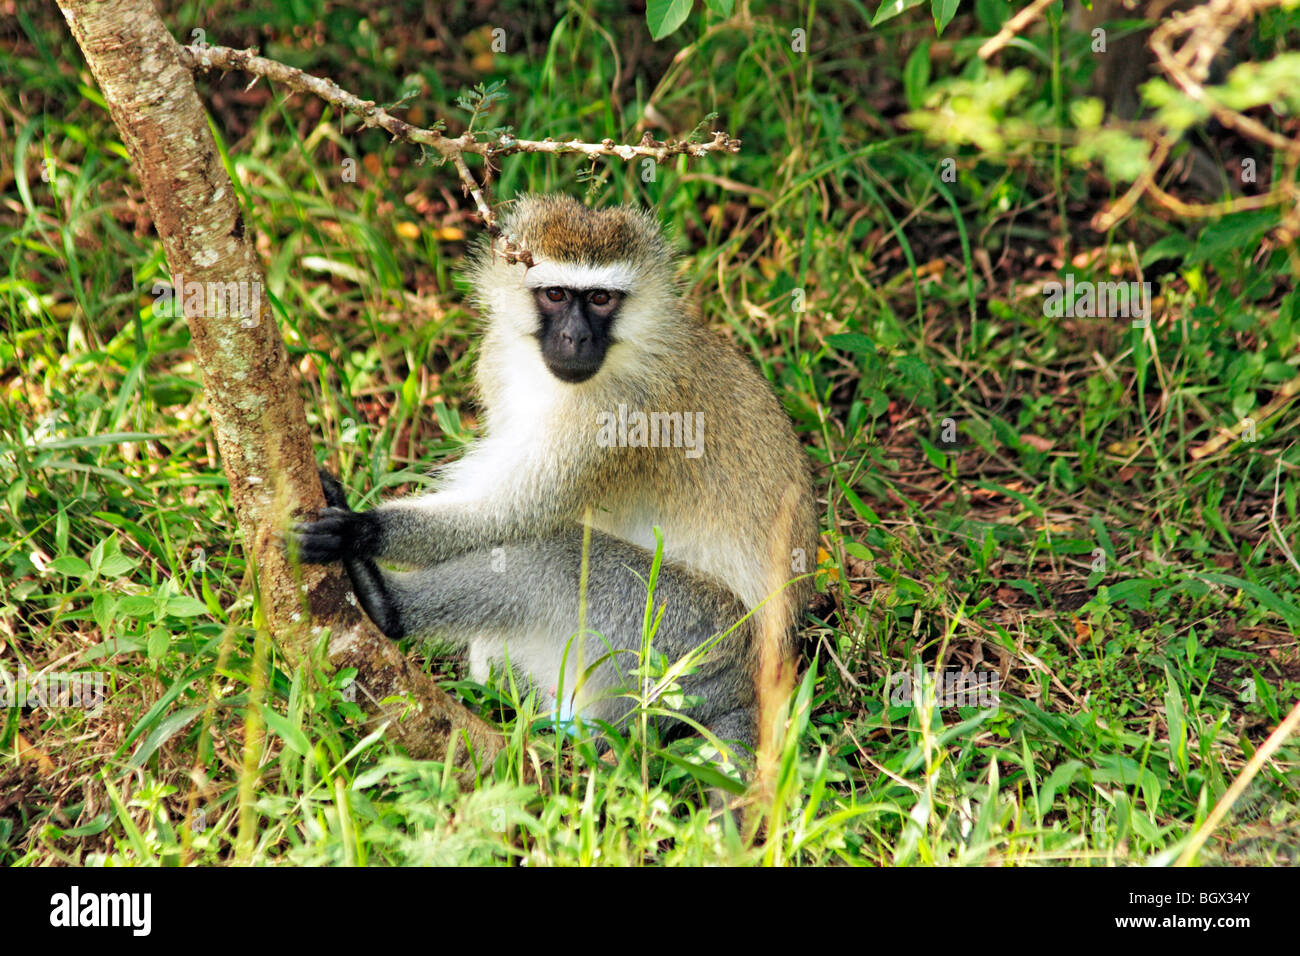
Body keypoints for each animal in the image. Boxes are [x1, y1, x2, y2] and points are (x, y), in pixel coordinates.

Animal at [289, 194, 818, 755]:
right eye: (556, 294)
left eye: (602, 299)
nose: (575, 336)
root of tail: (755, 677)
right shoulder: (495, 359)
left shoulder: (622, 411)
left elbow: (509, 514)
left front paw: (361, 530)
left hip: (690, 638)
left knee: (551, 559)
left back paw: (387, 605)